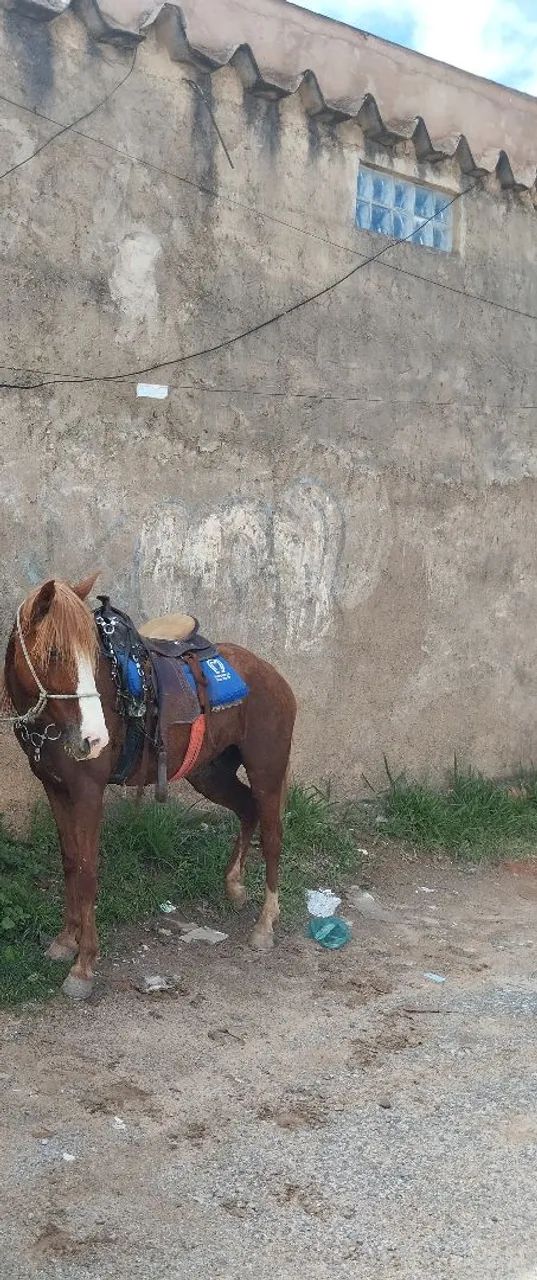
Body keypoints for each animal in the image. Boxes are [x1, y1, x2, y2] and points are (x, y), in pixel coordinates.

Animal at [3, 574, 297, 999]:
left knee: (272, 836)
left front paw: (84, 966)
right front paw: (65, 941)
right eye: (55, 652)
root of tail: (272, 675)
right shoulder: (56, 789)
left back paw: (265, 925)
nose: (94, 739)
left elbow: (87, 870)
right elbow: (70, 863)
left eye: (93, 657)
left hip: (267, 772)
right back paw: (234, 887)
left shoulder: (88, 792)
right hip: (209, 774)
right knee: (247, 809)